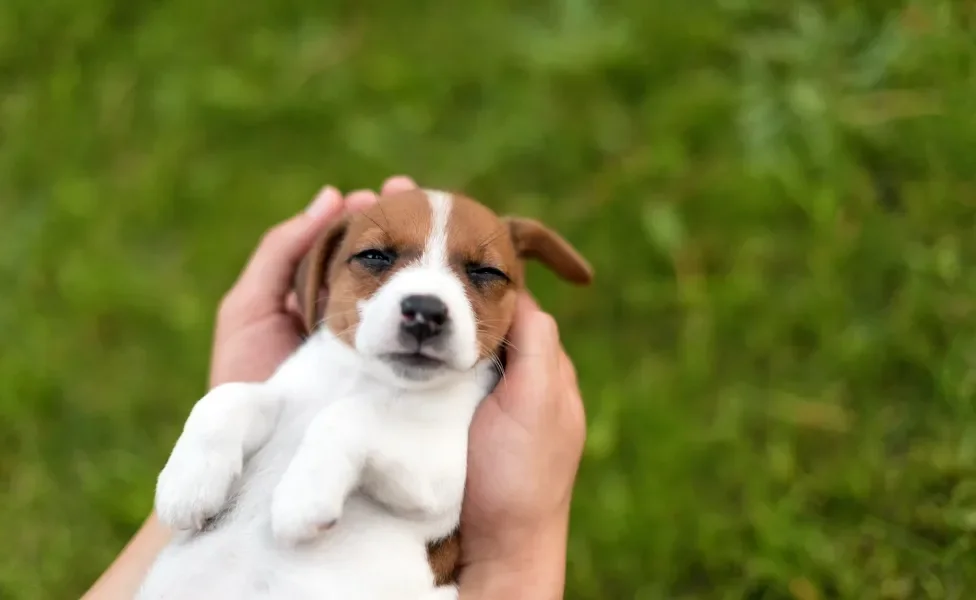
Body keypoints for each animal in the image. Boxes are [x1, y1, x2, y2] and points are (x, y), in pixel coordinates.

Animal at [135, 189, 596, 600]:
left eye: (486, 272)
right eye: (375, 256)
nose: (425, 312)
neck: (369, 381)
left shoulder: (443, 476)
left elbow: (346, 417)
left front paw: (303, 495)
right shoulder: (287, 398)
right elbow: (224, 398)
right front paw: (188, 482)